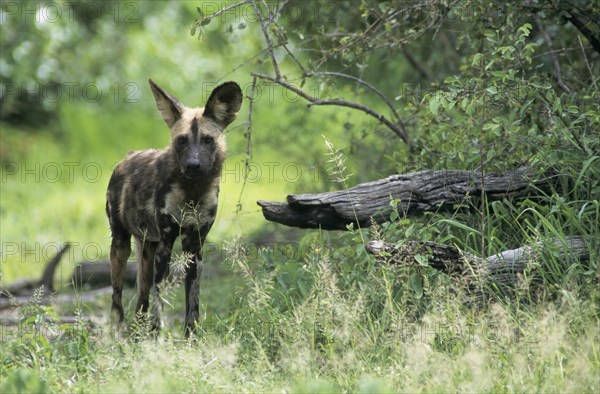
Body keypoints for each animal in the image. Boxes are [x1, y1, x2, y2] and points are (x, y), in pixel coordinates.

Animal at [106, 79, 243, 336]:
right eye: (181, 140)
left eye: (208, 140)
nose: (193, 165)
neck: (193, 191)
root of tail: (126, 158)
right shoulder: (166, 245)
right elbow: (160, 303)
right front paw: (157, 336)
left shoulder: (194, 248)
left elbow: (193, 305)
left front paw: (191, 339)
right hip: (120, 248)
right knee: (117, 302)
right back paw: (117, 336)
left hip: (147, 251)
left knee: (141, 300)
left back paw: (137, 337)